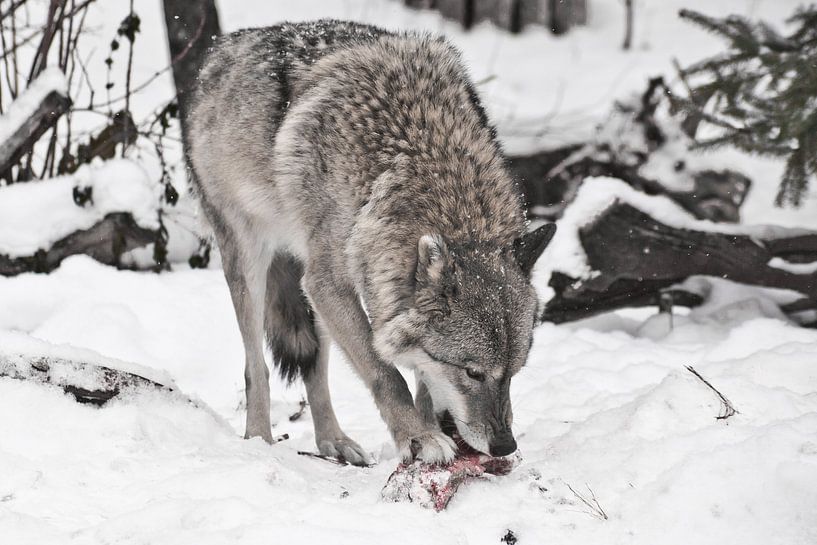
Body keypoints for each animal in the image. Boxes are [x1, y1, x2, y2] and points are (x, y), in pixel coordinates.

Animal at [185, 20, 556, 466]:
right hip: (254, 263)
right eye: (473, 372)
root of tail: (219, 49)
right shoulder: (330, 284)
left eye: (513, 374)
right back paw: (259, 442)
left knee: (315, 368)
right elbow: (385, 373)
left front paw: (428, 428)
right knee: (255, 367)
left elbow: (423, 381)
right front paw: (420, 438)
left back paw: (335, 442)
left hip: (310, 295)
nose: (505, 446)